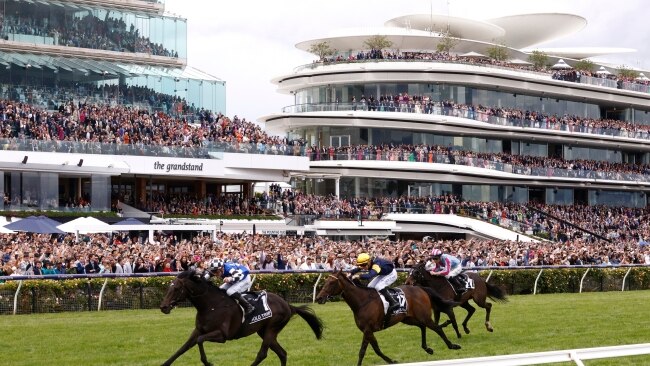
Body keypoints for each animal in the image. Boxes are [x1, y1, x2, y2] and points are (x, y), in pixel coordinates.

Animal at [159, 268, 322, 366]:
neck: (211, 305)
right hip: (264, 331)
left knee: (262, 354)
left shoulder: (222, 335)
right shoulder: (198, 330)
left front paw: (208, 363)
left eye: (176, 288)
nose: (163, 307)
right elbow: (182, 349)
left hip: (272, 328)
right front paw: (164, 363)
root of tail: (288, 305)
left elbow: (200, 341)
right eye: (169, 287)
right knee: (282, 353)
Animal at [312, 270, 456, 364]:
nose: (319, 298)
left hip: (424, 316)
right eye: (326, 281)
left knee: (437, 328)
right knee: (422, 326)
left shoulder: (368, 330)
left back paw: (452, 345)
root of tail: (421, 288)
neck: (362, 301)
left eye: (331, 282)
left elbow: (363, 351)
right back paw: (427, 348)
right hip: (408, 318)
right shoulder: (368, 331)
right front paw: (391, 360)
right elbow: (376, 349)